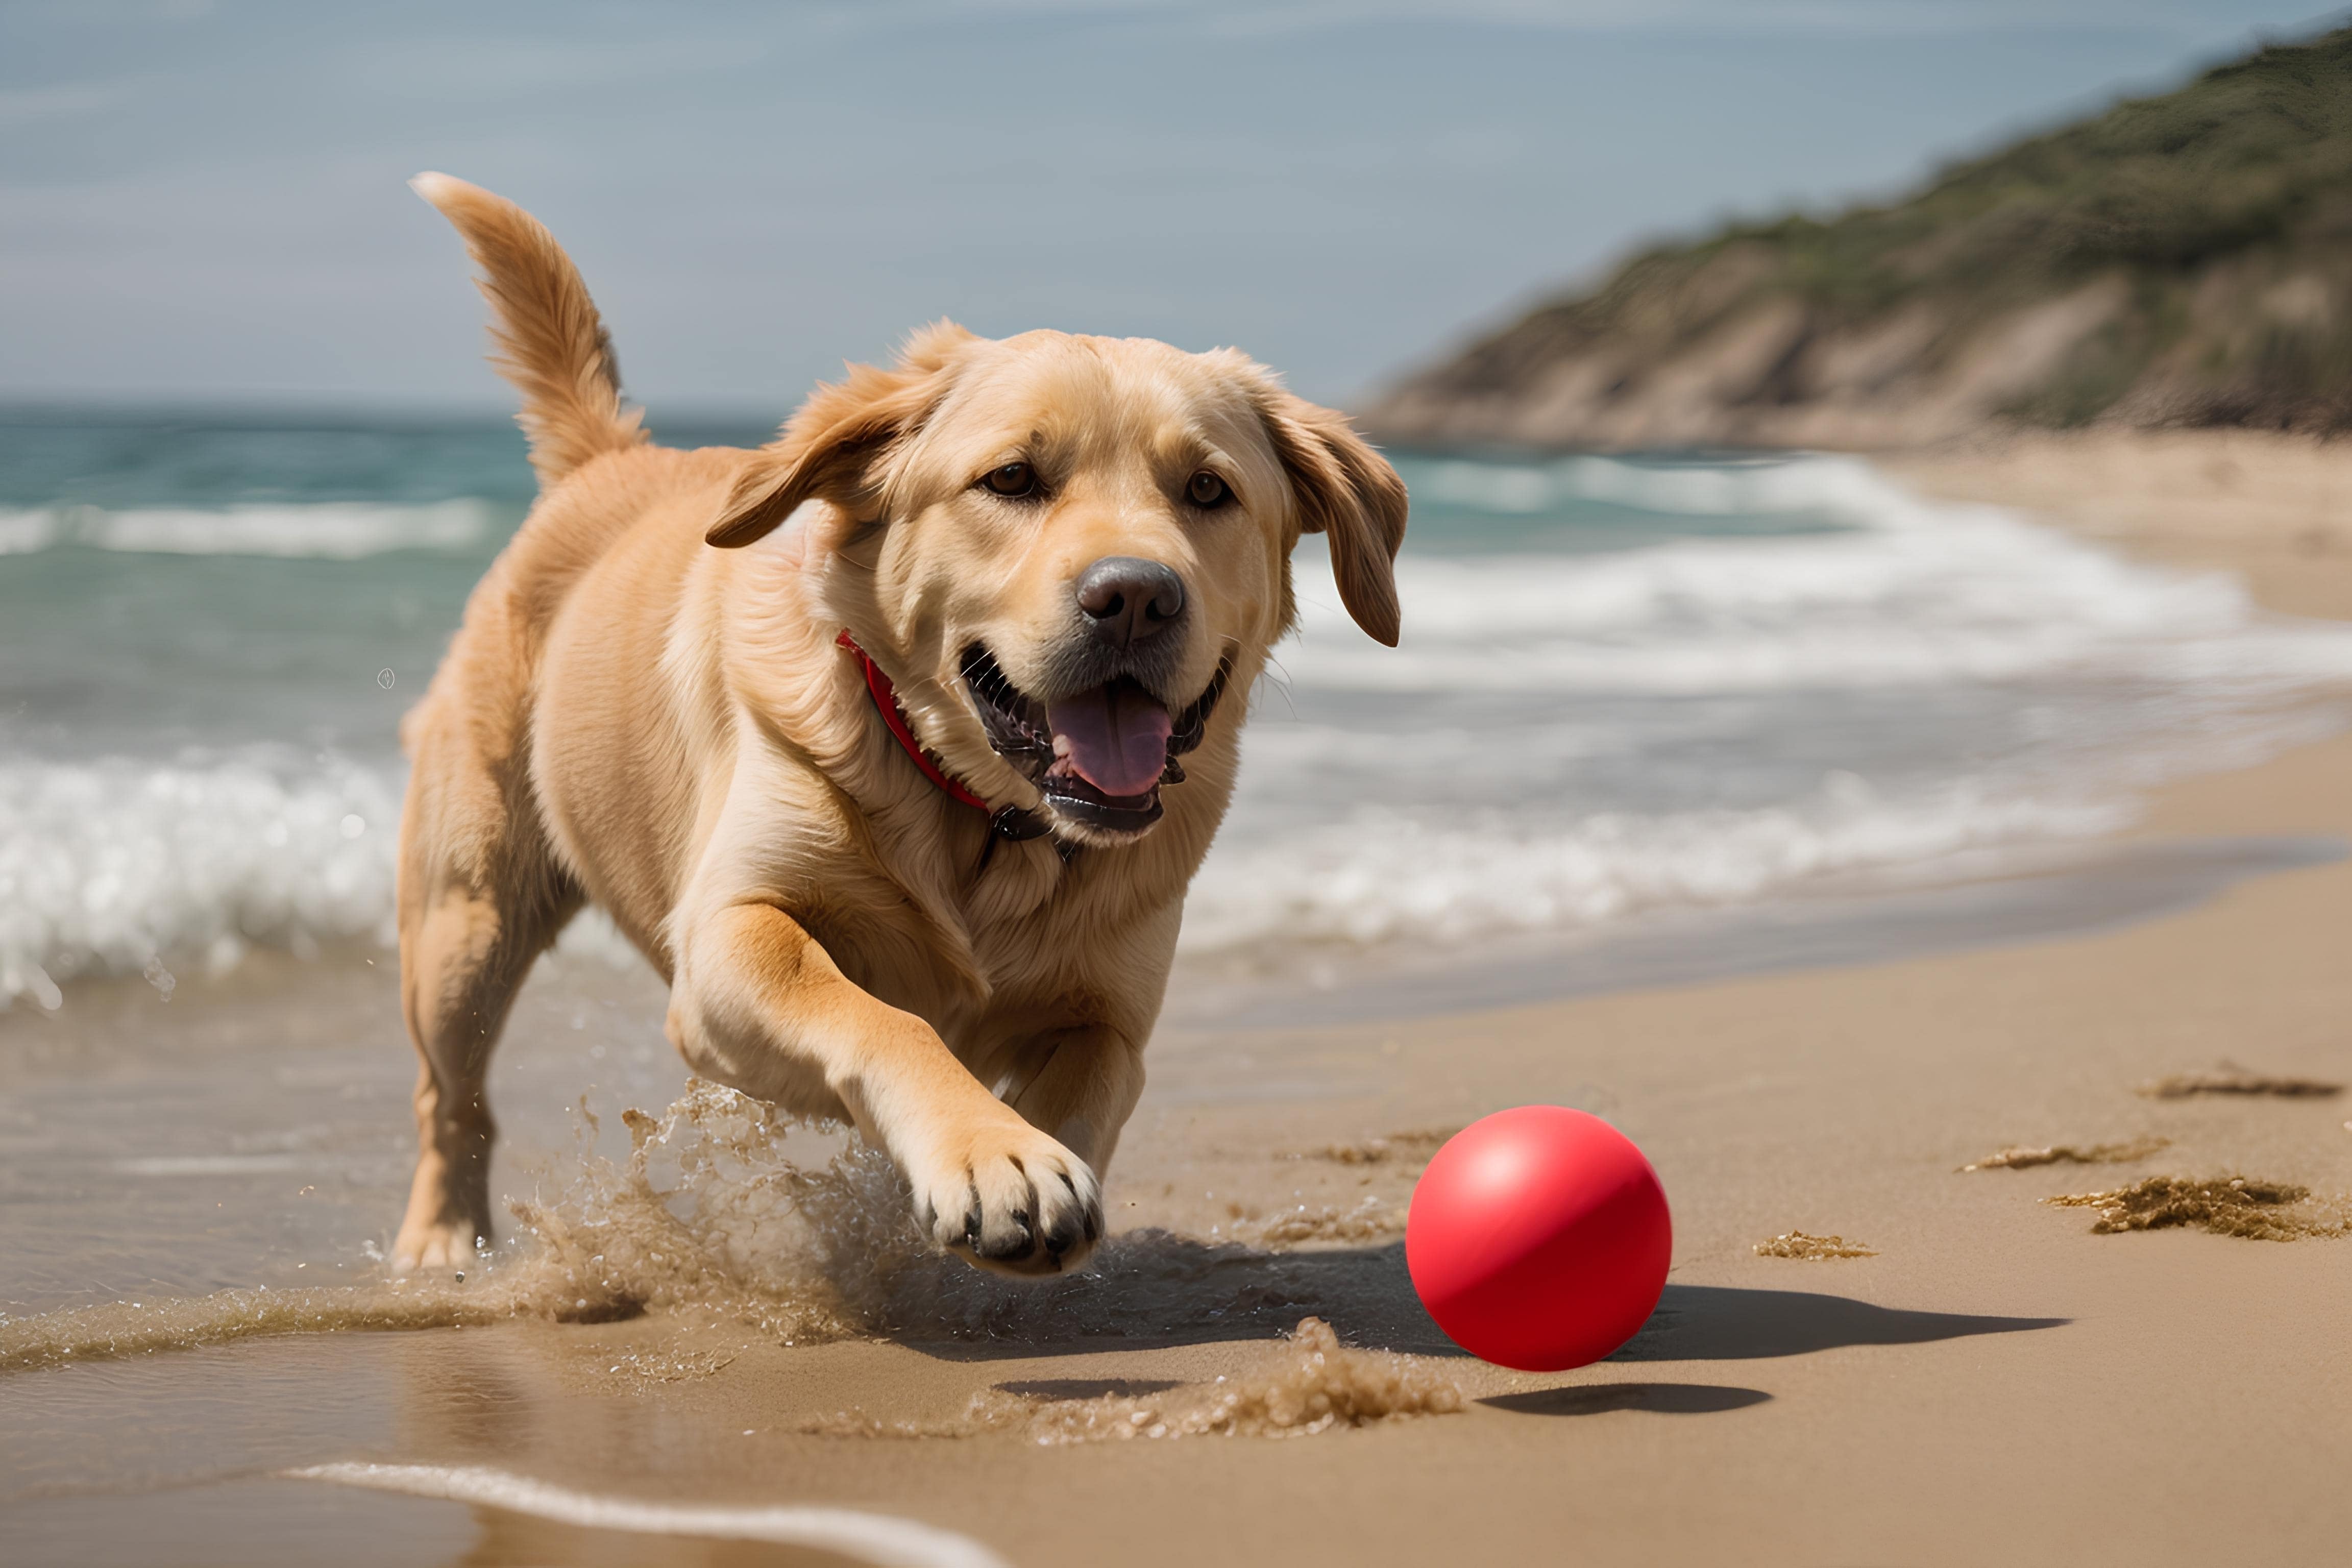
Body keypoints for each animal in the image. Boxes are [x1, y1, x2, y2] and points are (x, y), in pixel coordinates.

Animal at [395, 175, 1402, 1279]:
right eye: (1012, 478)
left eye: (1209, 489)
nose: (1136, 597)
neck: (986, 823)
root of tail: (605, 460)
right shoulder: (731, 933)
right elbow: (877, 1016)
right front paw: (991, 1153)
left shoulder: (1112, 1012)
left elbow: (1087, 1083)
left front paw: (1027, 1164)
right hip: (465, 920)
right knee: (452, 1097)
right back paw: (441, 1240)